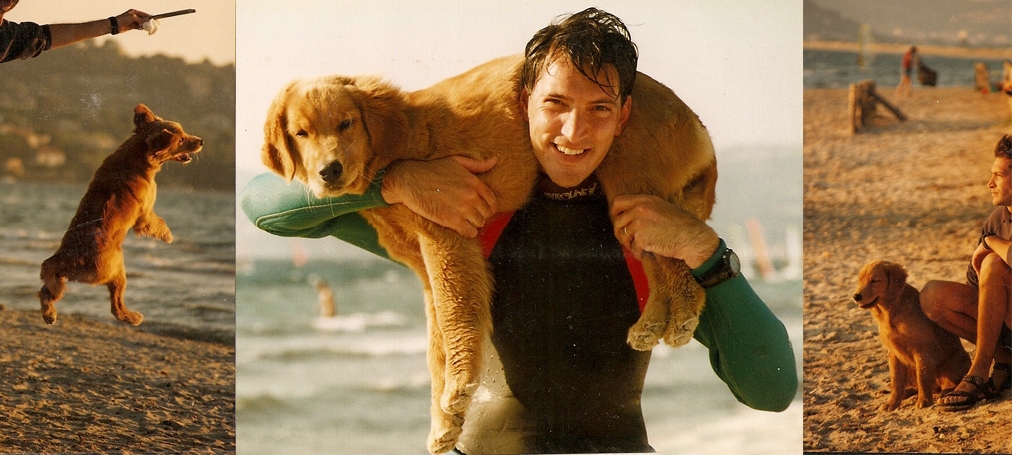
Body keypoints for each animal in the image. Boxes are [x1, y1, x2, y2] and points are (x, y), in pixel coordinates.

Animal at [38, 104, 203, 326]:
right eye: (182, 139)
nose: (201, 141)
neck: (136, 155)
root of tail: (67, 258)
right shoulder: (145, 213)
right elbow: (156, 222)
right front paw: (167, 235)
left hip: (60, 278)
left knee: (46, 292)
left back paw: (49, 314)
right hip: (117, 271)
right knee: (116, 306)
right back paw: (132, 317)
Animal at [853, 260, 970, 410]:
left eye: (875, 280)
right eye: (860, 280)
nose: (856, 296)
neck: (891, 313)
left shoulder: (921, 351)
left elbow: (923, 378)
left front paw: (924, 400)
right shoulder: (893, 353)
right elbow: (896, 382)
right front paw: (892, 403)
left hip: (951, 365)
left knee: (947, 385)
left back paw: (946, 394)